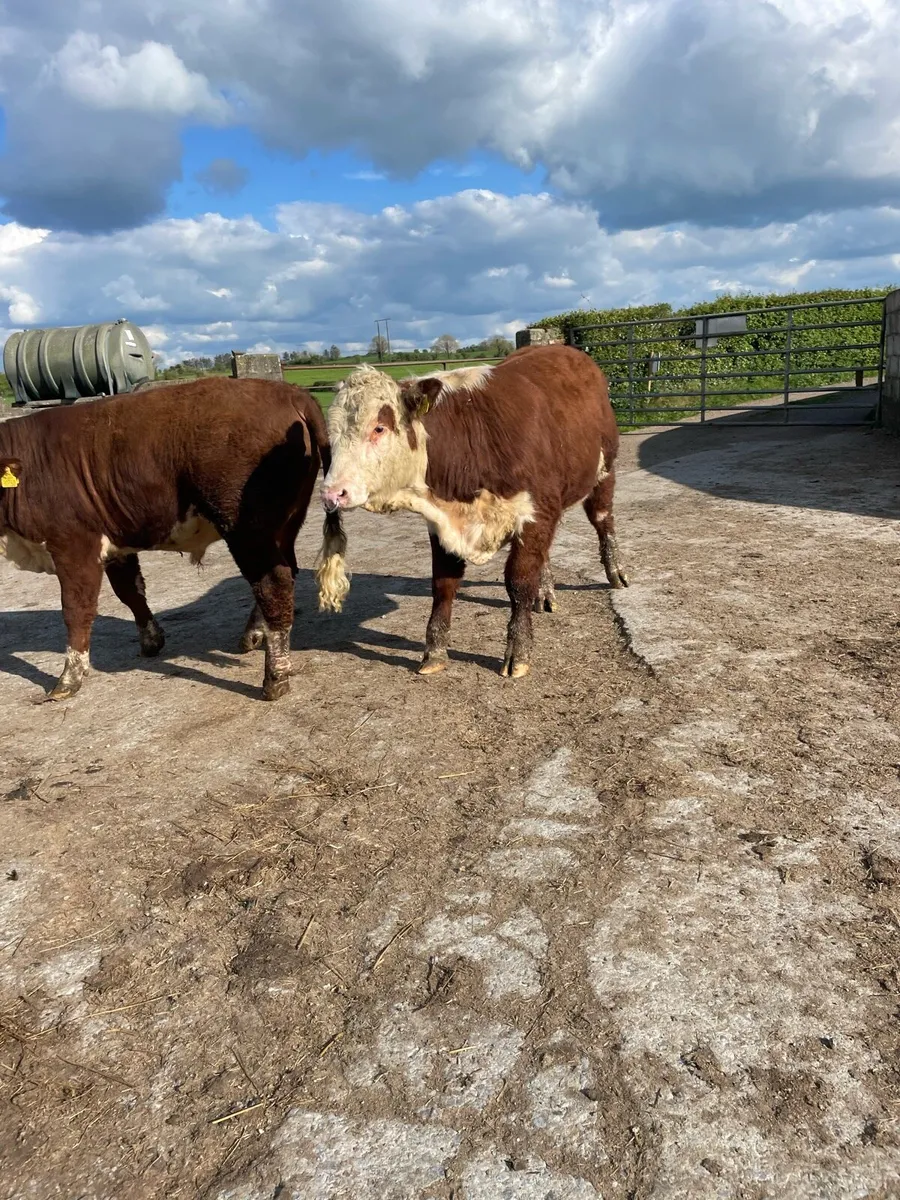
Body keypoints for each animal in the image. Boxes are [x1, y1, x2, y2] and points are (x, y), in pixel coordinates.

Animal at [0, 377, 345, 701]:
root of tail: (291, 392)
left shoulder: (73, 545)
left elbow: (76, 609)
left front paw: (68, 678)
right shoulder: (115, 543)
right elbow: (131, 592)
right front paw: (151, 640)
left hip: (246, 528)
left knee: (273, 583)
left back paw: (275, 677)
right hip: (284, 524)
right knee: (285, 571)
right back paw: (254, 635)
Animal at [316, 344, 627, 678]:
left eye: (379, 427)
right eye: (332, 436)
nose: (332, 492)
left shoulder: (534, 513)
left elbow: (519, 582)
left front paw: (518, 652)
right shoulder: (440, 524)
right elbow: (444, 584)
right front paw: (435, 651)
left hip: (603, 472)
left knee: (602, 520)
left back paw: (616, 572)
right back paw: (544, 593)